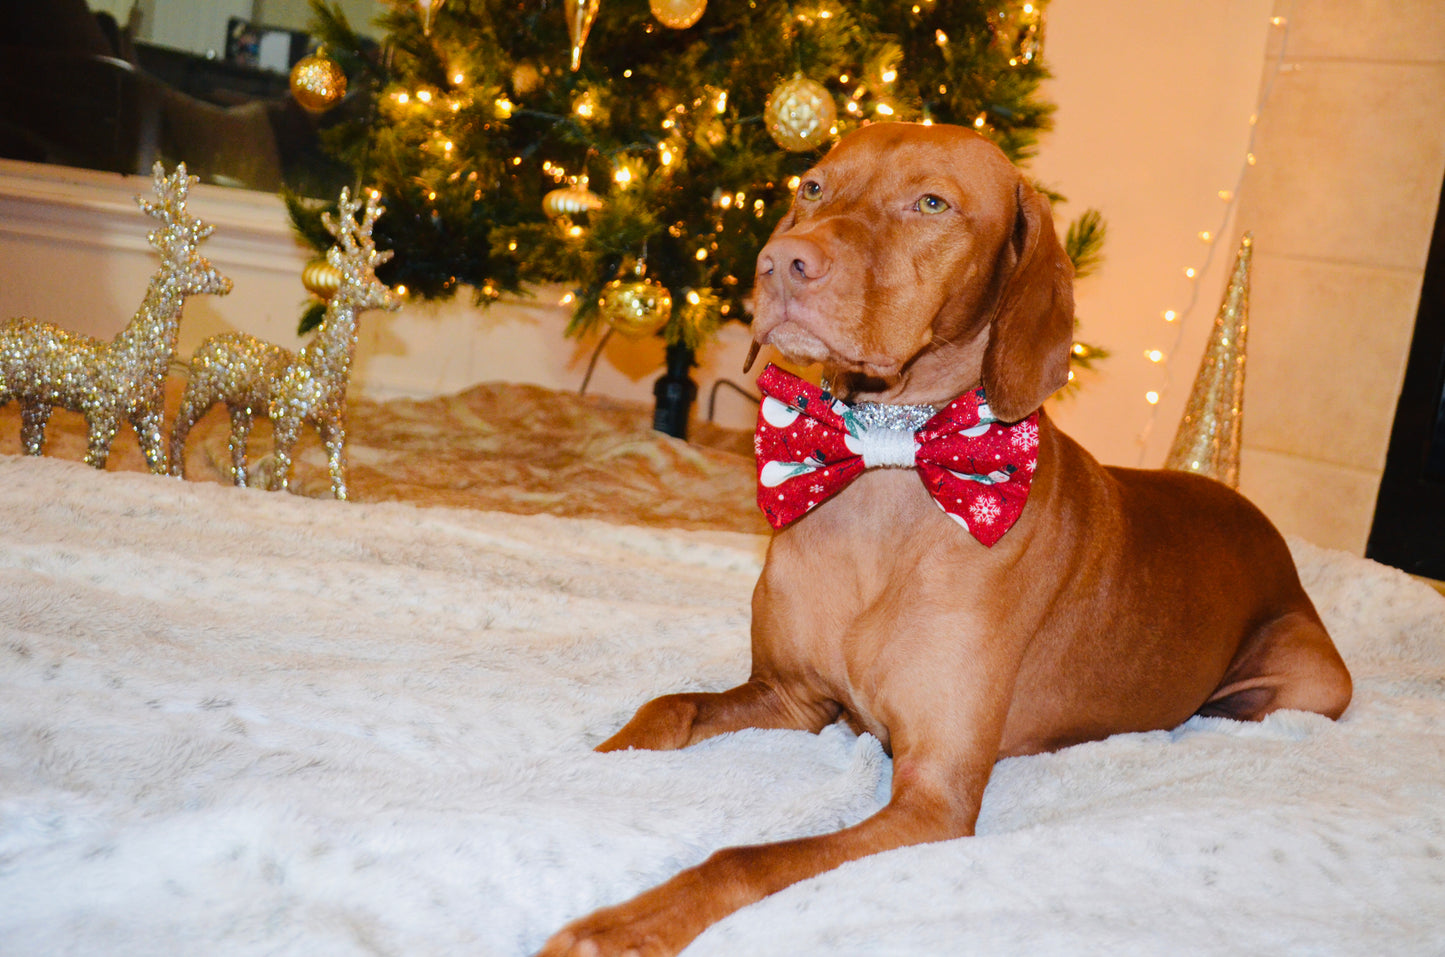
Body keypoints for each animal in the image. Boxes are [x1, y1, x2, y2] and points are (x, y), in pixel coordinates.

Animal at [537, 123, 1346, 957]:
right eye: (812, 187)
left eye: (931, 203)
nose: (780, 262)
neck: (886, 466)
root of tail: (1252, 512)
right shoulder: (791, 695)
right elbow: (666, 708)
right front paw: (582, 770)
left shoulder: (933, 797)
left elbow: (744, 857)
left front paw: (622, 925)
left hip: (1314, 682)